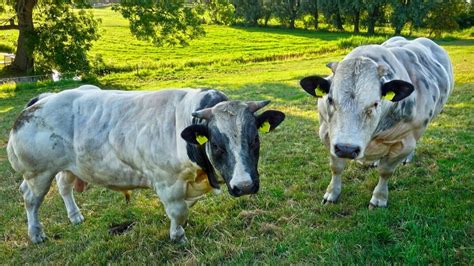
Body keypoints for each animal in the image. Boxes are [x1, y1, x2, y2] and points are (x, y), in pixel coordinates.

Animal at [8, 86, 286, 244]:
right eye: (217, 145)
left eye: (255, 139)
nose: (245, 185)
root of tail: (41, 100)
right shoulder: (168, 183)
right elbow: (178, 211)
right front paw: (178, 236)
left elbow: (184, 210)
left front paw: (180, 229)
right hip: (37, 173)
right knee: (30, 199)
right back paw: (35, 233)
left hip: (67, 166)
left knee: (64, 186)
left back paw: (75, 216)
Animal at [302, 37, 454, 208]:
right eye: (330, 99)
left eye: (375, 104)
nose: (347, 149)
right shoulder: (328, 135)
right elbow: (336, 167)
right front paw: (332, 194)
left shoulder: (405, 141)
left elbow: (385, 171)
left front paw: (379, 198)